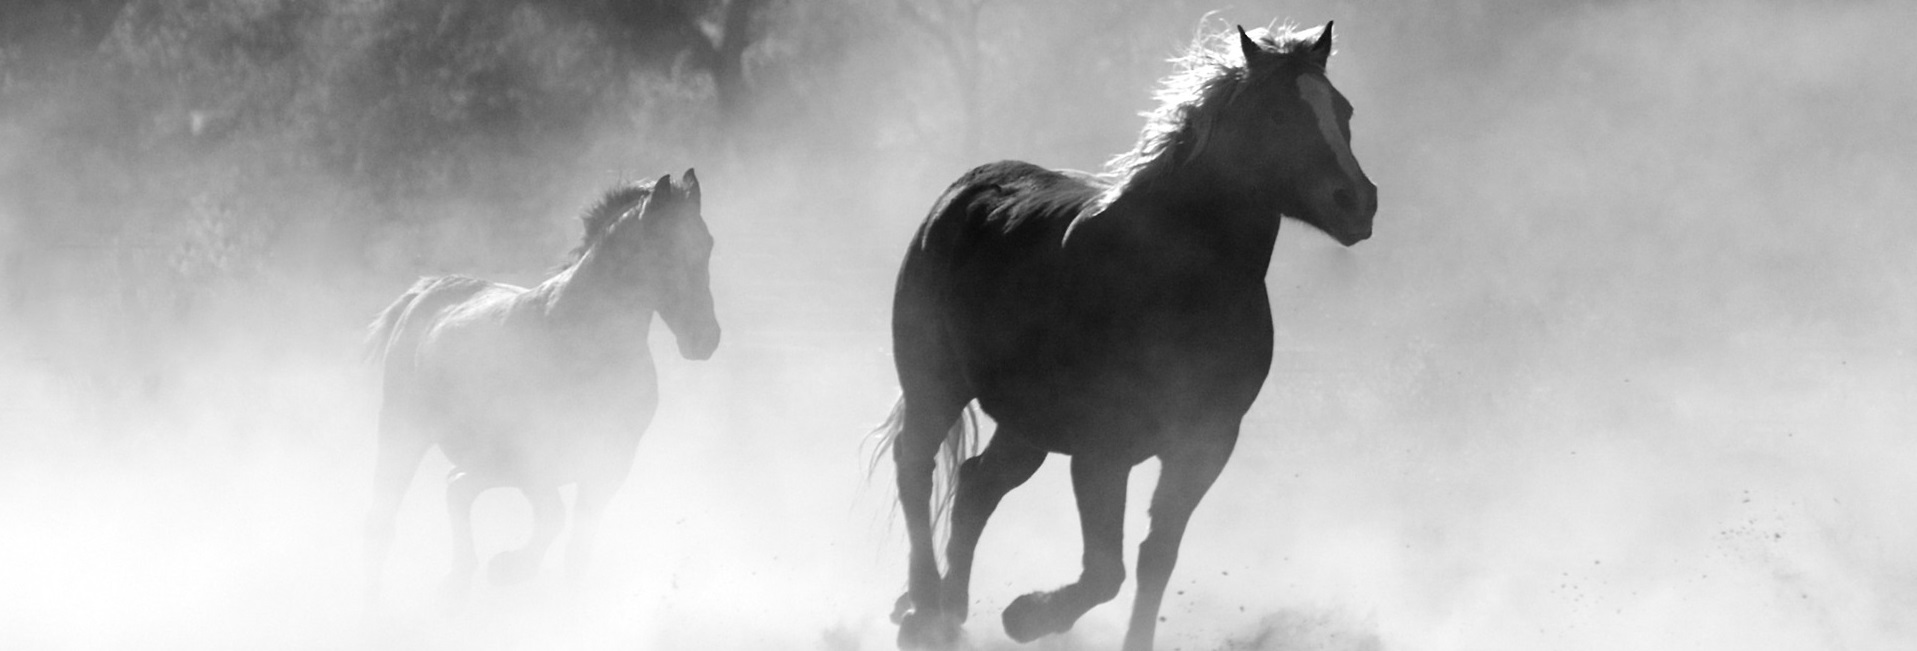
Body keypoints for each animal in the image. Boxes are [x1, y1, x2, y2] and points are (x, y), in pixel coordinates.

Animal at [360, 170, 720, 601]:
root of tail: (425, 293)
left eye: (707, 244)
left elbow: (577, 548)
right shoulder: (533, 457)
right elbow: (554, 516)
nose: (705, 339)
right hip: (404, 431)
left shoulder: (609, 464)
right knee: (386, 516)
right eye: (664, 248)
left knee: (456, 487)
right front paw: (510, 568)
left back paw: (458, 581)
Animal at [881, 22, 1380, 647]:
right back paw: (924, 608)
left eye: (1344, 110)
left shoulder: (1204, 444)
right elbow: (1104, 571)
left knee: (974, 488)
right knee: (916, 468)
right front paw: (1027, 615)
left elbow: (1154, 559)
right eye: (1276, 115)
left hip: (1026, 424)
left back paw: (951, 614)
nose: (1358, 202)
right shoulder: (1103, 449)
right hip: (936, 385)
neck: (1177, 282)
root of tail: (960, 194)